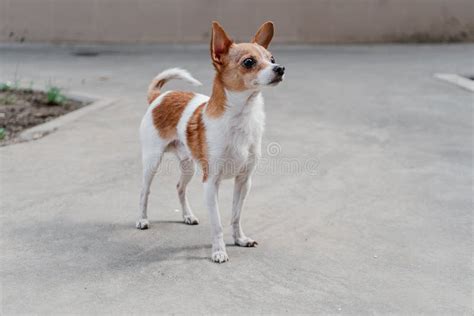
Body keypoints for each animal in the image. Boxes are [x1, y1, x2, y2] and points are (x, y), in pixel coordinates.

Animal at [137, 19, 286, 262]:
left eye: (272, 59)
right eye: (249, 62)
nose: (280, 68)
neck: (241, 117)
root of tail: (160, 97)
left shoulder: (244, 181)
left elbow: (235, 215)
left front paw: (239, 239)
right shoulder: (210, 183)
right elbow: (217, 224)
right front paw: (218, 251)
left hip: (188, 166)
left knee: (180, 187)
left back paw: (187, 216)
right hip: (152, 162)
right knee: (144, 191)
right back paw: (142, 219)